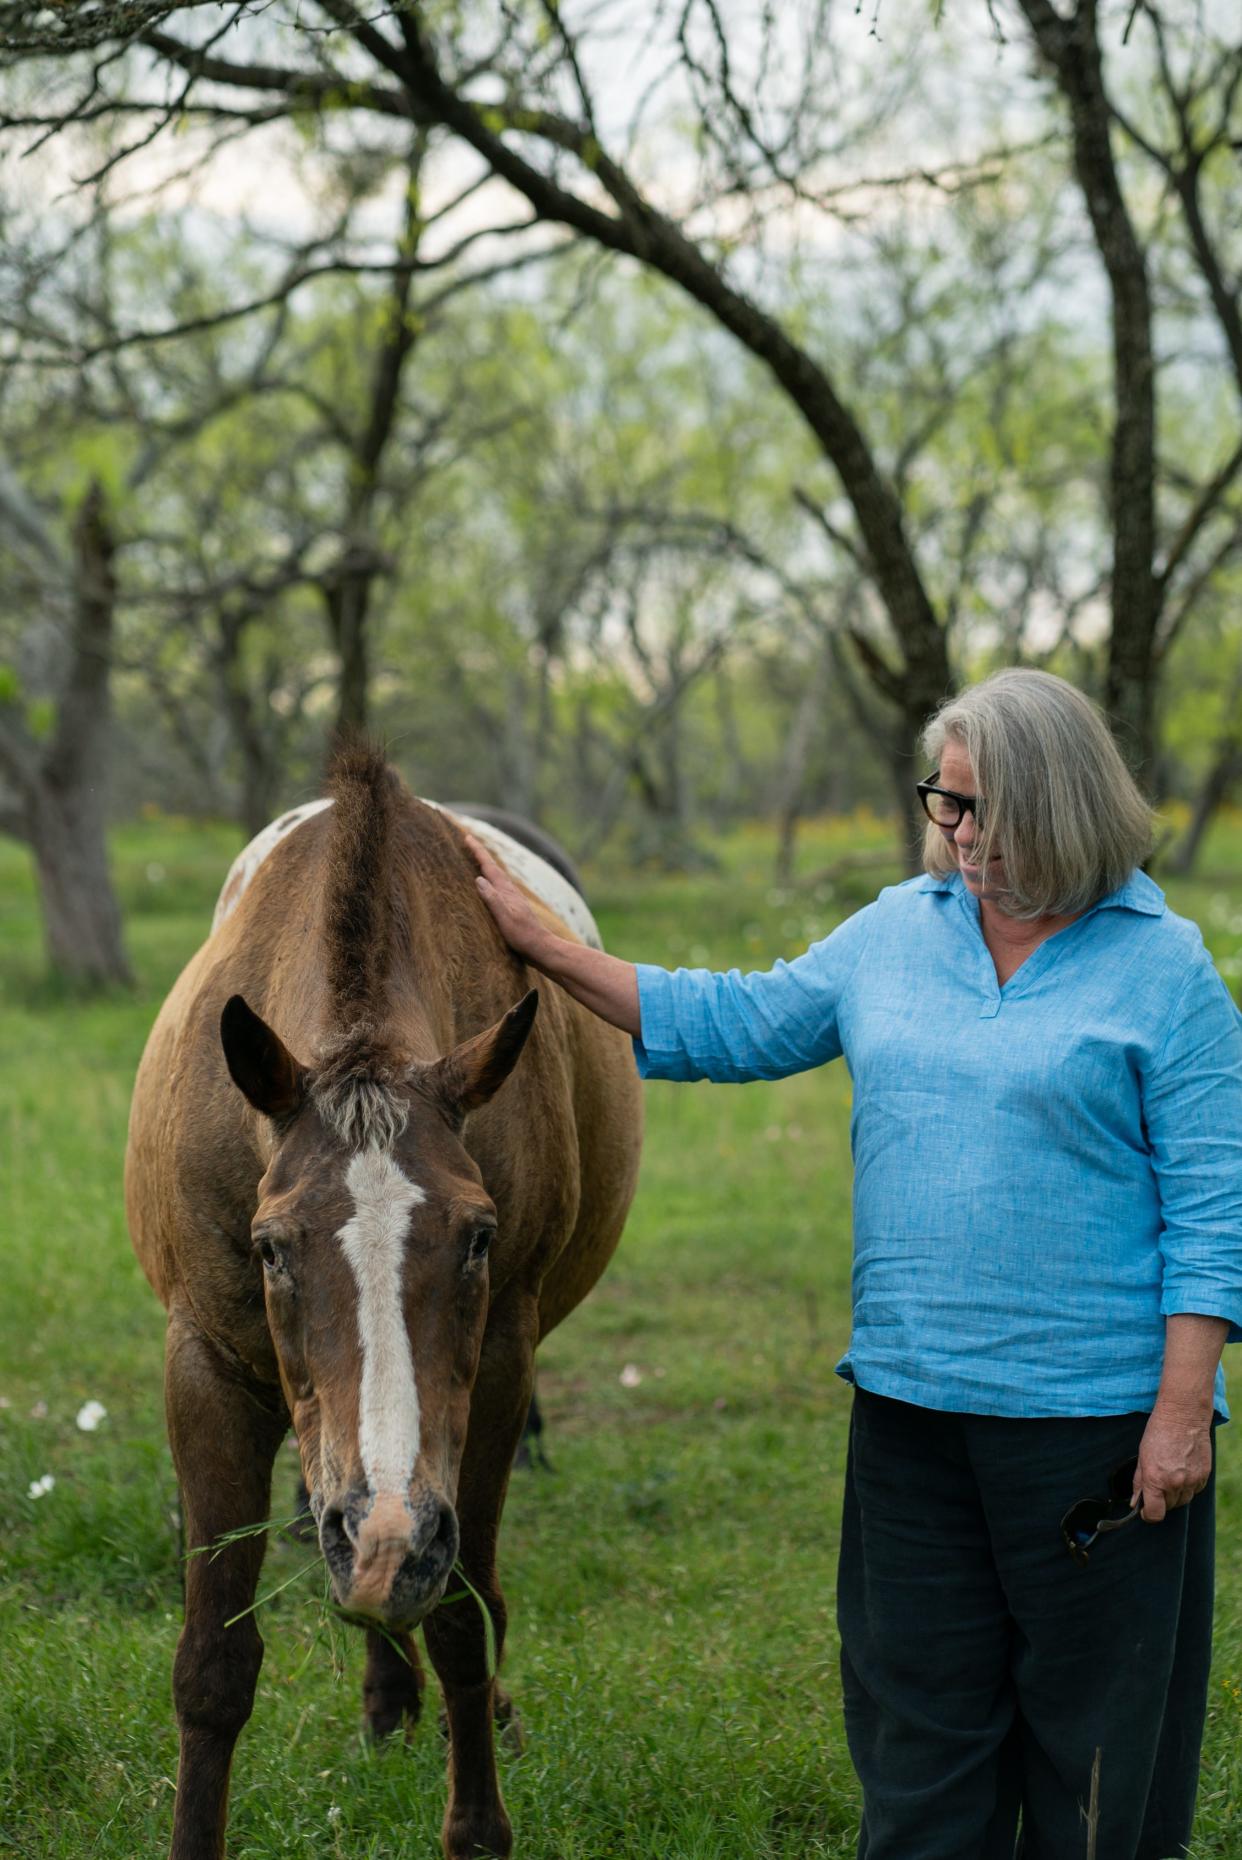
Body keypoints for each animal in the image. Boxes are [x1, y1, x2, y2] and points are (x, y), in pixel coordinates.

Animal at [126, 751, 647, 1860]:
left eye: (479, 1239)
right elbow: (212, 1661)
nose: (386, 1538)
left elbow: (460, 1615)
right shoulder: (205, 1368)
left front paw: (477, 1821)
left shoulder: (494, 1375)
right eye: (269, 1248)